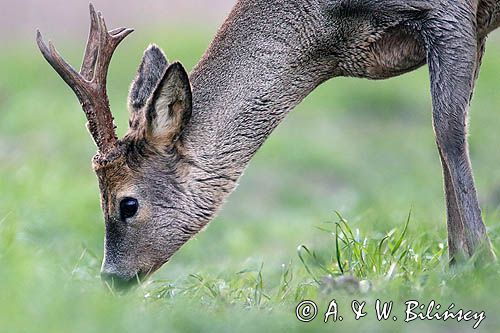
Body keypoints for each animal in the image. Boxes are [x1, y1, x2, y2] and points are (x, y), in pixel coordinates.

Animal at [37, 0, 498, 288]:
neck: (331, 37)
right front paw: (458, 263)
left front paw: (480, 263)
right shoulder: (473, 25)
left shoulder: (451, 14)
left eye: (127, 204)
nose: (111, 279)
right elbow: (445, 137)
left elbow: (449, 132)